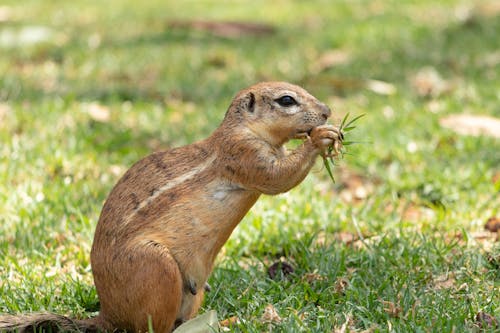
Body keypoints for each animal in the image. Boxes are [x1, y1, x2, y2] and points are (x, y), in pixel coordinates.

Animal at [0, 81, 344, 332]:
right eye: (287, 100)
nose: (328, 111)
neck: (240, 128)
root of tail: (108, 315)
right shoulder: (243, 153)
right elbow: (278, 178)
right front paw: (322, 138)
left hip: (194, 292)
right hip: (156, 265)